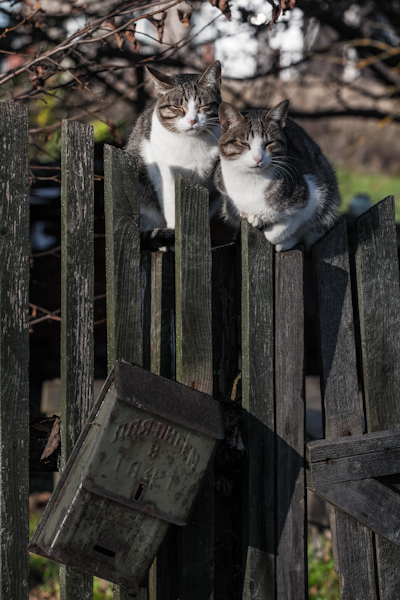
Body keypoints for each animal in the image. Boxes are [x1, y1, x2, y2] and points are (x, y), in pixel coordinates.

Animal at [126, 60, 222, 248]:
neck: (192, 143)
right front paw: (174, 236)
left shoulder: (208, 183)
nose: (192, 121)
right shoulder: (164, 176)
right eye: (177, 107)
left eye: (203, 106)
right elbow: (172, 208)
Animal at [214, 99, 340, 250]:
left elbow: (286, 228)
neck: (251, 180)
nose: (258, 158)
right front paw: (250, 216)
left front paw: (282, 239)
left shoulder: (315, 195)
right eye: (244, 143)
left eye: (269, 143)